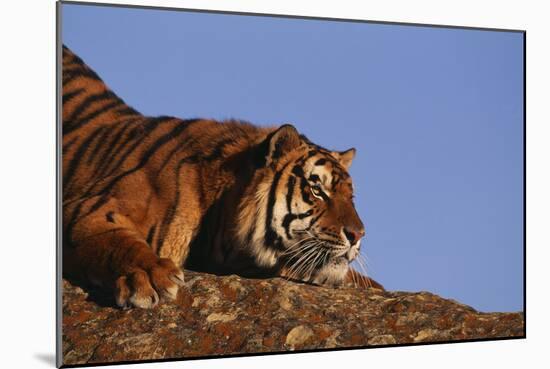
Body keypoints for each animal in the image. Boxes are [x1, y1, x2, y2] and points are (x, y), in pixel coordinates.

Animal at [61, 44, 384, 310]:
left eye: (351, 197)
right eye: (317, 189)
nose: (358, 235)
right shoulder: (90, 207)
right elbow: (114, 238)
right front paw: (150, 276)